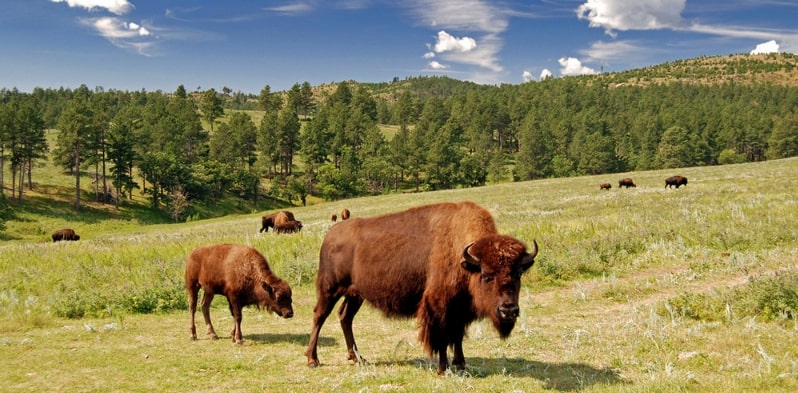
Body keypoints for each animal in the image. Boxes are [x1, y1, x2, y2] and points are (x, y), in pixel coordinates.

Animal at [304, 202, 540, 374]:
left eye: (518, 274)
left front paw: (462, 365)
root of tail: (331, 234)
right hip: (330, 289)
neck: (464, 258)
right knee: (319, 316)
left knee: (345, 317)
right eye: (487, 275)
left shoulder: (459, 309)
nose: (508, 310)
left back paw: (358, 358)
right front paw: (443, 369)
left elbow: (457, 337)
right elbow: (442, 337)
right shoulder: (439, 307)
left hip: (355, 294)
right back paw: (313, 359)